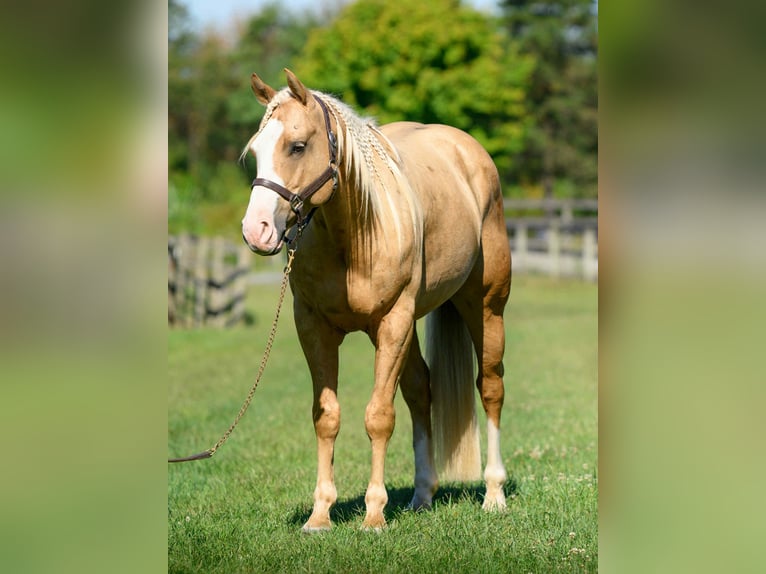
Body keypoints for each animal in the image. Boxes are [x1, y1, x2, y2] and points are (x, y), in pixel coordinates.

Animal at [241, 69, 511, 531]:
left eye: (297, 146)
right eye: (256, 151)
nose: (255, 230)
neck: (353, 237)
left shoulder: (392, 322)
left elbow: (379, 416)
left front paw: (373, 515)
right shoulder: (313, 326)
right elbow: (327, 416)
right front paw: (320, 514)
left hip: (485, 309)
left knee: (490, 388)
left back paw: (493, 494)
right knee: (421, 390)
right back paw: (422, 495)